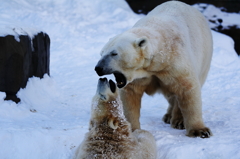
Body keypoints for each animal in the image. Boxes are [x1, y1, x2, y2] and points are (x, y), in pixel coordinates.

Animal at [94, 0, 213, 138]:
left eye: (114, 53)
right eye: (101, 53)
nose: (98, 68)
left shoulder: (175, 63)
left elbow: (187, 89)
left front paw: (200, 131)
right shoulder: (141, 75)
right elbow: (130, 97)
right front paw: (132, 129)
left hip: (205, 58)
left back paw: (178, 120)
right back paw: (169, 116)